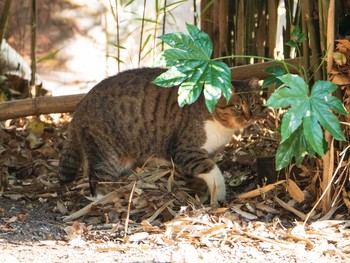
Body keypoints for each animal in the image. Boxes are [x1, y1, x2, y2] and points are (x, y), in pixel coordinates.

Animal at [58, 67, 262, 205]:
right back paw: (105, 199)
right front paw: (218, 196)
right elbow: (213, 171)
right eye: (237, 107)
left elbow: (201, 173)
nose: (249, 117)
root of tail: (80, 105)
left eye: (253, 105)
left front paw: (200, 190)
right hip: (106, 153)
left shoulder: (206, 153)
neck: (222, 128)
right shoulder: (186, 151)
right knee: (97, 178)